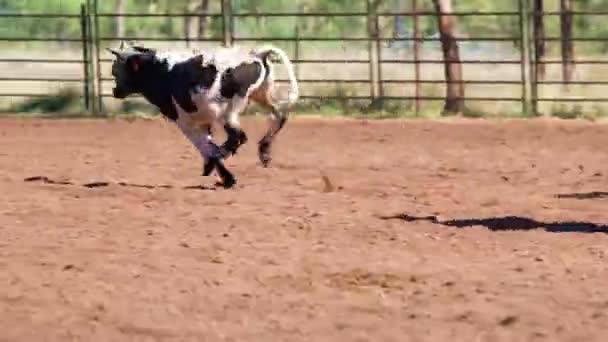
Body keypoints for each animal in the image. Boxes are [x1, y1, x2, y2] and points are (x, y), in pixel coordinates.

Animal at [107, 42, 302, 190]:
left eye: (117, 71)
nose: (115, 91)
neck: (161, 71)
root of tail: (256, 54)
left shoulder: (182, 120)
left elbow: (204, 146)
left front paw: (225, 176)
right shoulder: (202, 121)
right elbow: (208, 144)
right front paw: (216, 169)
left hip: (228, 112)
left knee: (238, 137)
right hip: (261, 95)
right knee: (278, 116)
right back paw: (264, 152)